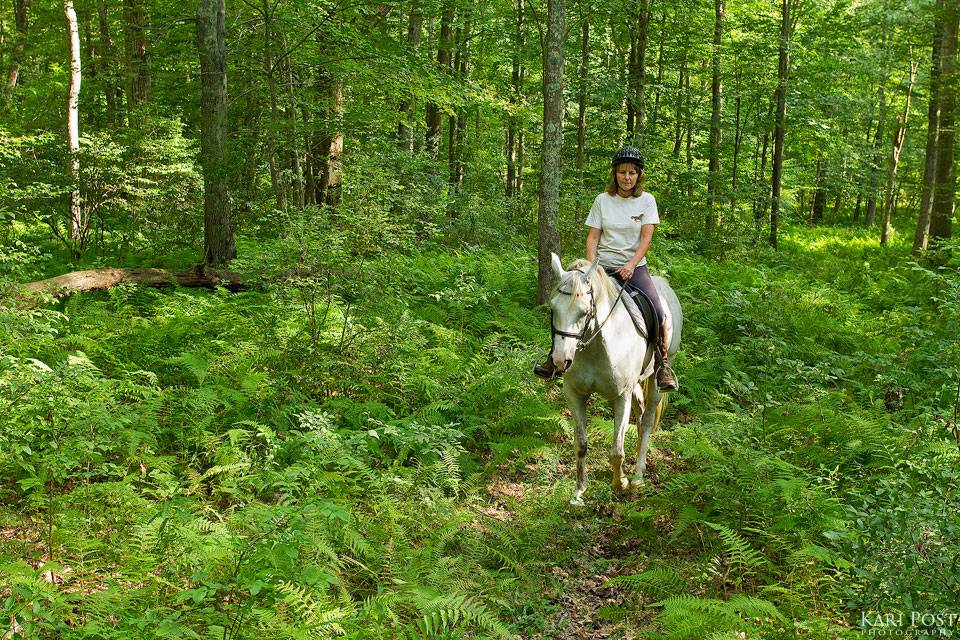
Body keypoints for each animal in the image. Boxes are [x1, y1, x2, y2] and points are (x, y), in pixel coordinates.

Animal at [548, 252, 684, 508]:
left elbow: (616, 451)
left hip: (658, 375)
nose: (560, 361)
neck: (595, 347)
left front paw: (620, 483)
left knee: (647, 420)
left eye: (584, 312)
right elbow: (581, 444)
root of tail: (665, 284)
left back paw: (638, 476)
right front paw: (579, 491)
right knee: (640, 414)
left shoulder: (621, 396)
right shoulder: (575, 394)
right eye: (552, 309)